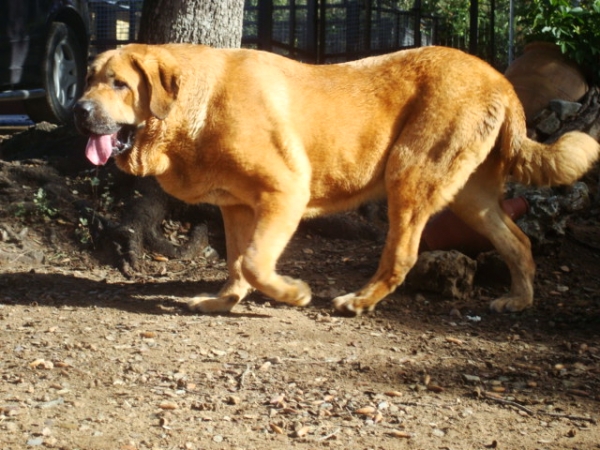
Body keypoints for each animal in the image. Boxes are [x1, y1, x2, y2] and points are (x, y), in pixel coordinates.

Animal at [74, 44, 600, 314]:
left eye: (119, 84)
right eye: (89, 79)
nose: (79, 110)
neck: (192, 109)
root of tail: (502, 80)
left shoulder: (285, 193)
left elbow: (254, 262)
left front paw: (294, 293)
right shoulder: (237, 206)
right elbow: (237, 263)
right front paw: (224, 302)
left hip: (409, 175)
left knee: (403, 255)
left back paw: (358, 300)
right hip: (471, 196)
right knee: (518, 241)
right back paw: (518, 299)